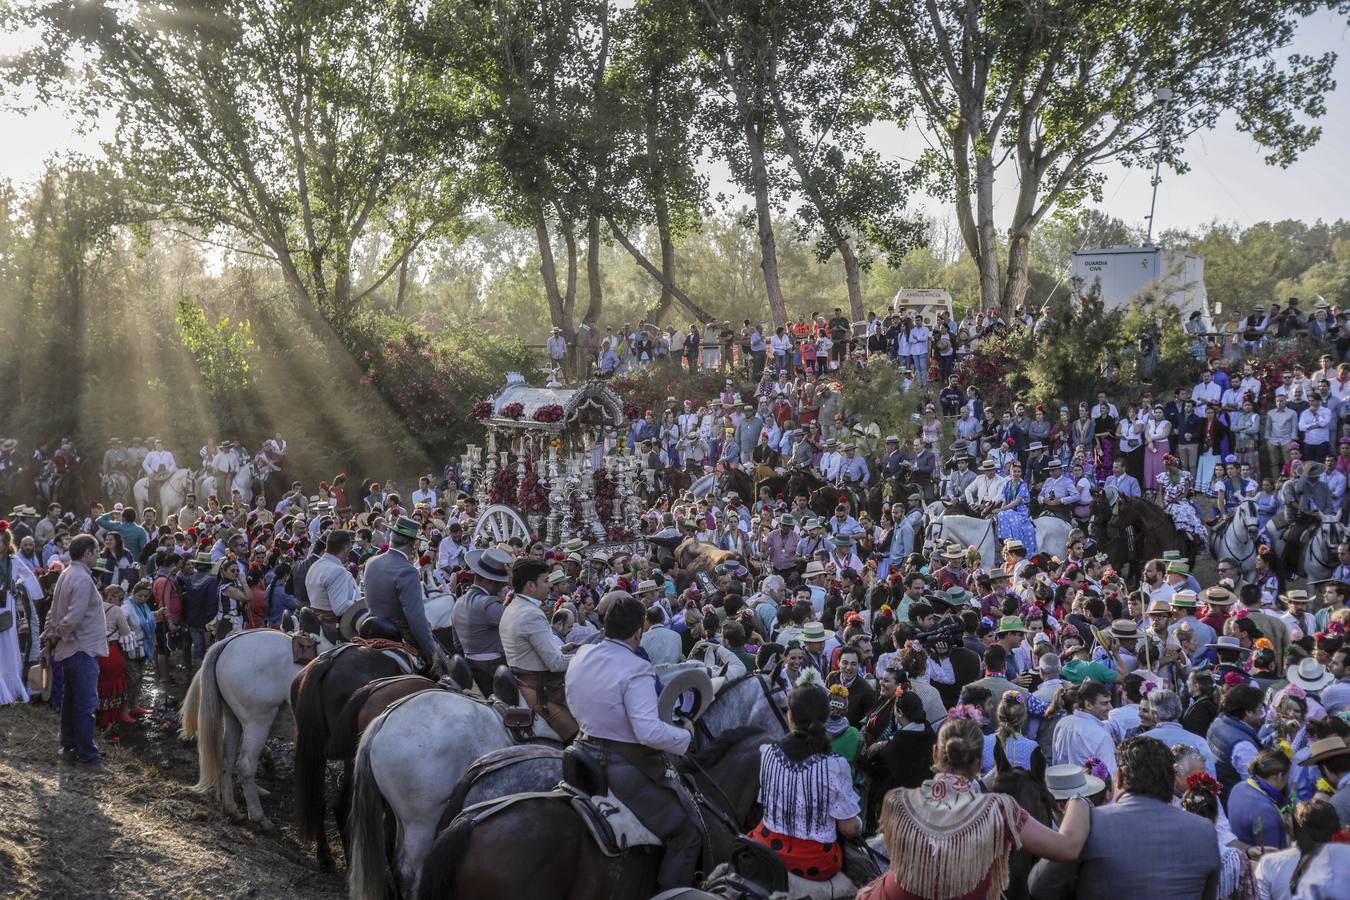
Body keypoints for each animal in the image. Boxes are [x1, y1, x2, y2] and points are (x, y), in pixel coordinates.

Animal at [179, 631, 332, 825]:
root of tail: (227, 643)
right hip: (258, 721)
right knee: (245, 765)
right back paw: (259, 817)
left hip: (233, 719)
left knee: (227, 760)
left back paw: (231, 809)